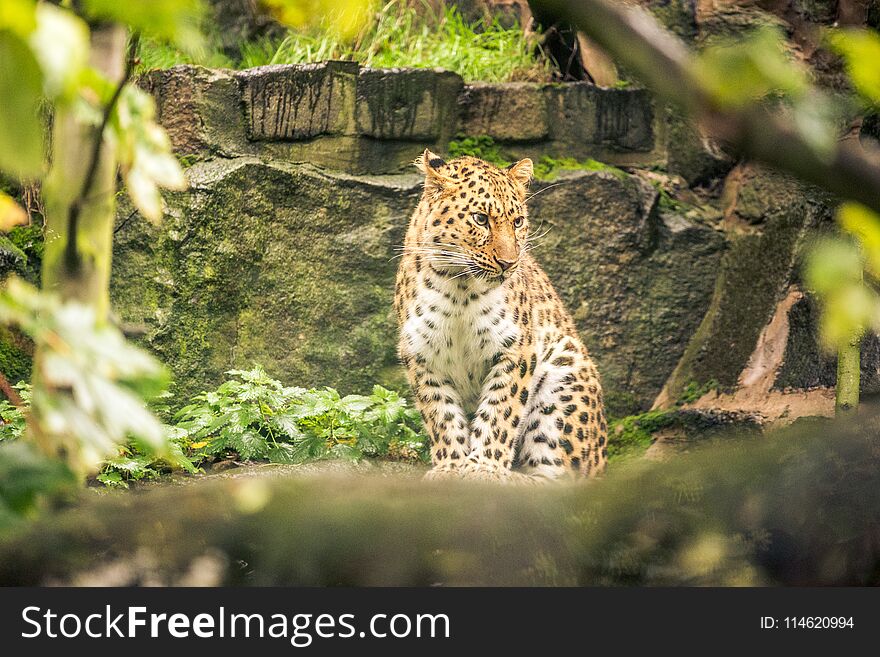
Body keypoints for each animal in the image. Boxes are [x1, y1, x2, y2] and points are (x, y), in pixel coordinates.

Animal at [396, 150, 608, 482]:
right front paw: (450, 466)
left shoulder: (516, 351)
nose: (509, 263)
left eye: (518, 221)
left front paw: (484, 467)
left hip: (566, 372)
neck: (460, 289)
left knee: (560, 480)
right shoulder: (421, 355)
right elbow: (442, 415)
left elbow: (500, 411)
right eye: (480, 219)